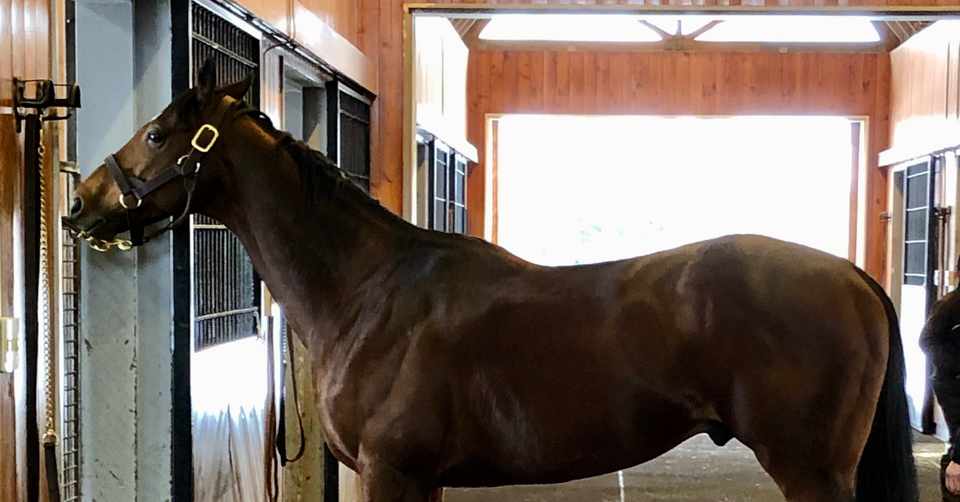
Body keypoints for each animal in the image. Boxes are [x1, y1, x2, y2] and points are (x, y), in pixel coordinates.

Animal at [65, 60, 918, 502]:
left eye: (156, 135)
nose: (80, 204)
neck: (369, 295)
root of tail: (852, 277)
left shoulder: (394, 475)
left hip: (809, 471)